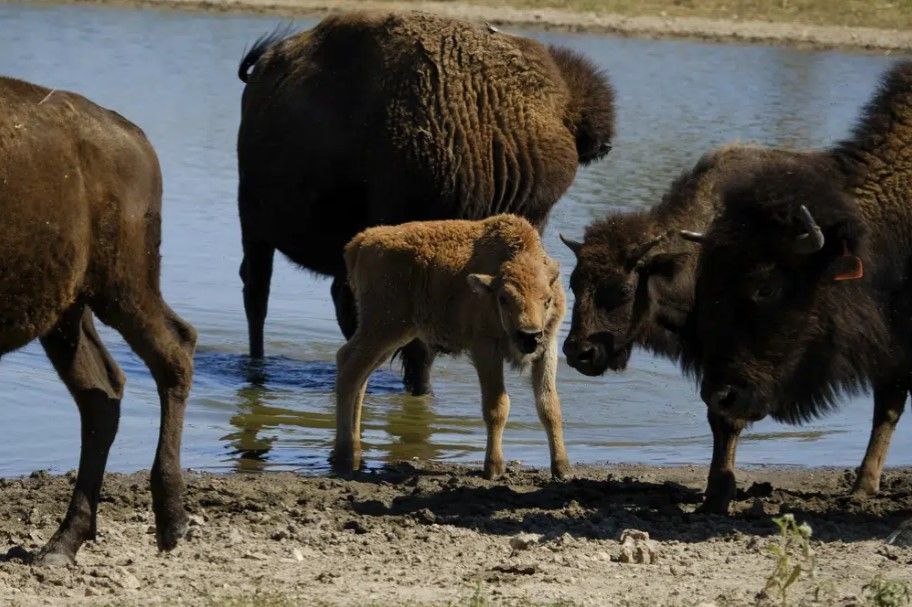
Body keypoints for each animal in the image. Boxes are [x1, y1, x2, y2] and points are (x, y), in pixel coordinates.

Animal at [0, 76, 196, 564]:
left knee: (174, 351)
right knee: (101, 393)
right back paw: (62, 543)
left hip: (122, 285)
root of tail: (133, 136)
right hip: (68, 313)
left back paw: (172, 522)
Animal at [239, 13, 616, 400]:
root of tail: (266, 64)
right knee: (257, 293)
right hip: (252, 223)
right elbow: (415, 341)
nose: (529, 335)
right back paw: (257, 369)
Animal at [334, 215, 568, 480]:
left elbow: (549, 406)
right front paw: (494, 468)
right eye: (503, 299)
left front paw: (562, 467)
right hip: (382, 328)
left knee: (356, 371)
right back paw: (346, 455)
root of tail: (362, 242)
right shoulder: (485, 349)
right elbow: (497, 406)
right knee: (350, 372)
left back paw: (352, 452)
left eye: (547, 299)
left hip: (392, 334)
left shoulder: (547, 348)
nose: (529, 335)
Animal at [680, 60, 912, 508]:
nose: (719, 395)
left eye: (766, 287)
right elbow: (887, 407)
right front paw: (861, 488)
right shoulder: (892, 346)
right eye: (706, 283)